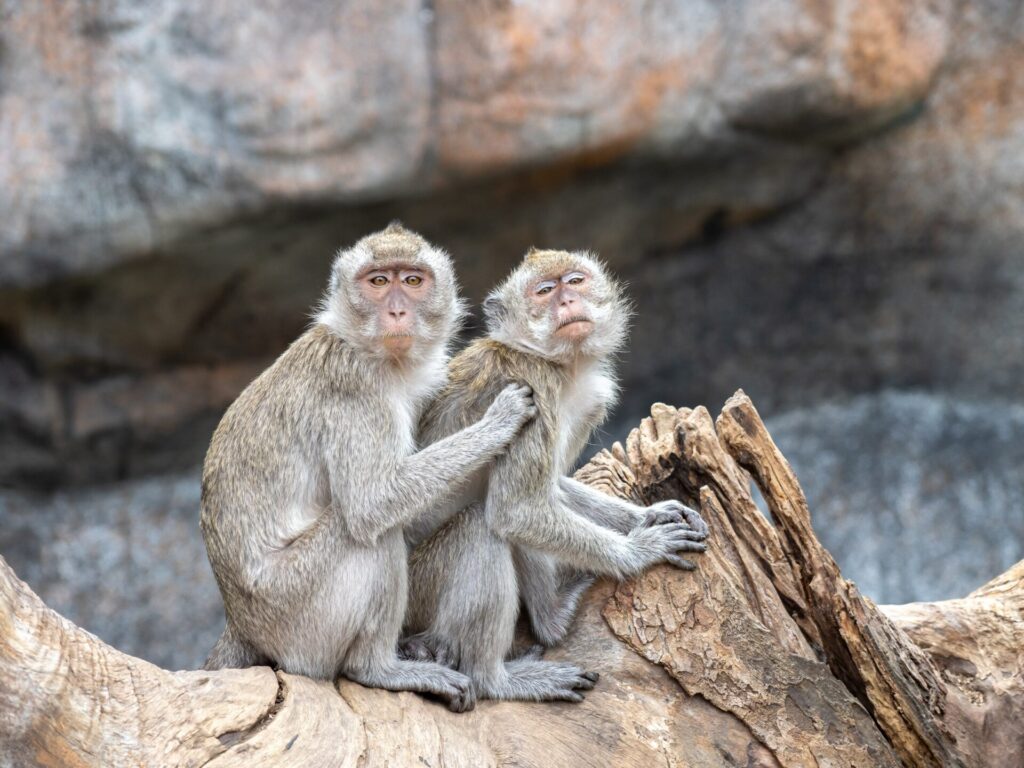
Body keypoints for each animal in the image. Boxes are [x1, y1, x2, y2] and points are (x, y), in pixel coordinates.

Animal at [197, 224, 536, 716]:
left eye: (412, 281)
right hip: (298, 617)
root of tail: (240, 622)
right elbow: (372, 504)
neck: (370, 352)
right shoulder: (355, 390)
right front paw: (499, 422)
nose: (396, 311)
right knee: (366, 533)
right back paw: (378, 669)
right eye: (378, 282)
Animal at [399, 249, 704, 708]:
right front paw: (638, 550)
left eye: (575, 280)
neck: (562, 367)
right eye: (543, 291)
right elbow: (518, 509)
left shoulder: (589, 398)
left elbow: (550, 489)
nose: (567, 300)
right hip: (414, 591)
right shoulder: (531, 386)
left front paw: (650, 514)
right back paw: (509, 664)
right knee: (483, 526)